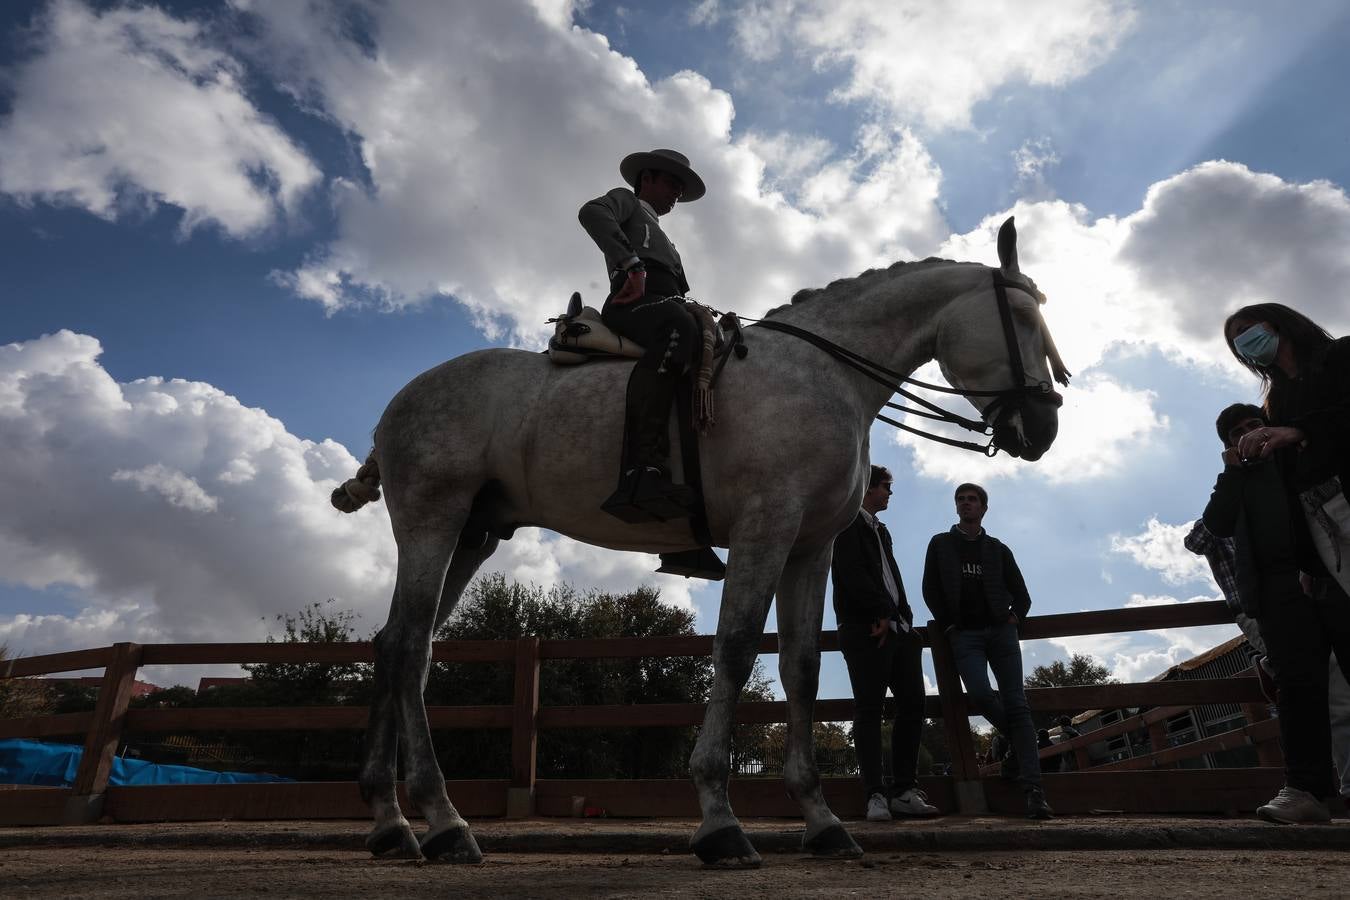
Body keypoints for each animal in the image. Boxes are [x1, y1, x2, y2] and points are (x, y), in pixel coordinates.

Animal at [334, 215, 1063, 863]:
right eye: (1023, 322)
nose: (1045, 427)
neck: (824, 376)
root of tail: (402, 402)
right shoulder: (764, 530)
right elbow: (736, 651)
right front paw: (720, 821)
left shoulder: (810, 548)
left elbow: (801, 668)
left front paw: (822, 821)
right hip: (434, 519)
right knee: (410, 649)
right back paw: (444, 821)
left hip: (473, 533)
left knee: (399, 646)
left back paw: (392, 823)